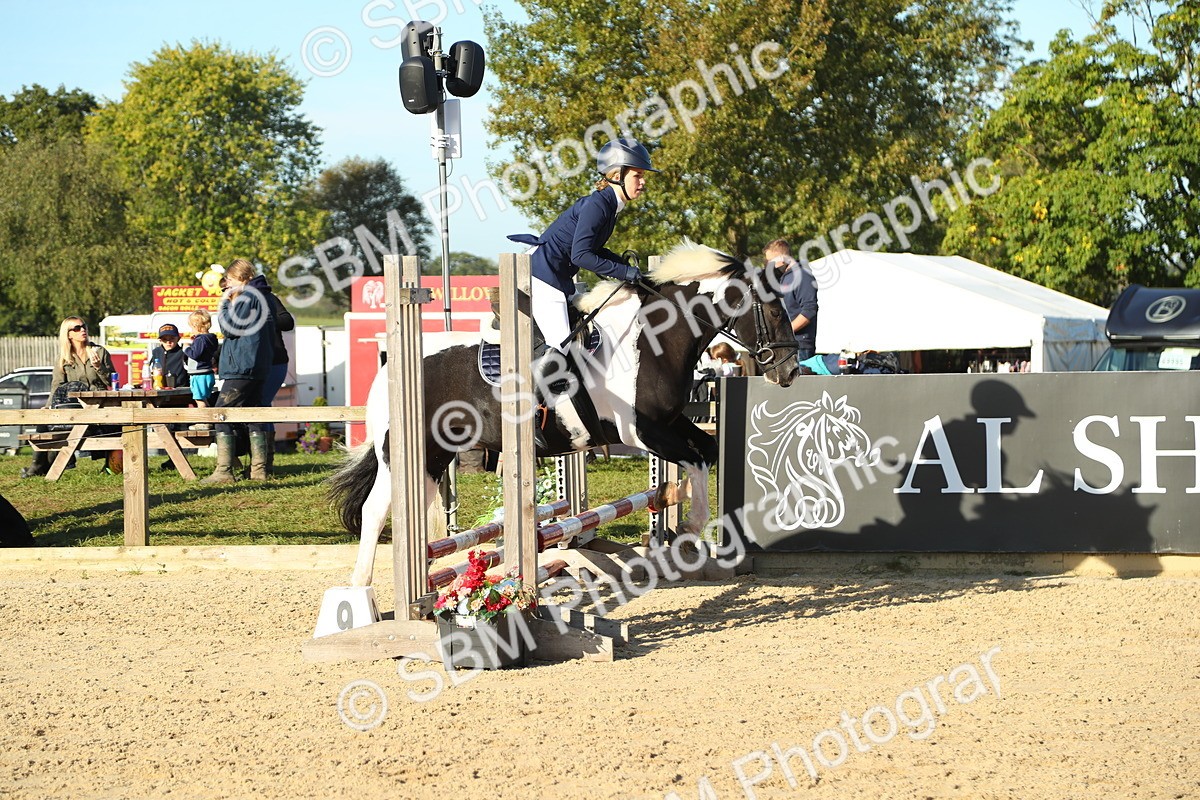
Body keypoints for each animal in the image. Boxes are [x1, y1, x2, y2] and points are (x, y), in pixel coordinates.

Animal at [329, 241, 801, 586]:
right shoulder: (640, 432)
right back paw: (363, 594)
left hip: (435, 458)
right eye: (774, 310)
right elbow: (698, 459)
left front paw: (674, 512)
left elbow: (705, 450)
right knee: (376, 512)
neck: (651, 340)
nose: (790, 371)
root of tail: (393, 365)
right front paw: (689, 528)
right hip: (409, 455)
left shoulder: (668, 423)